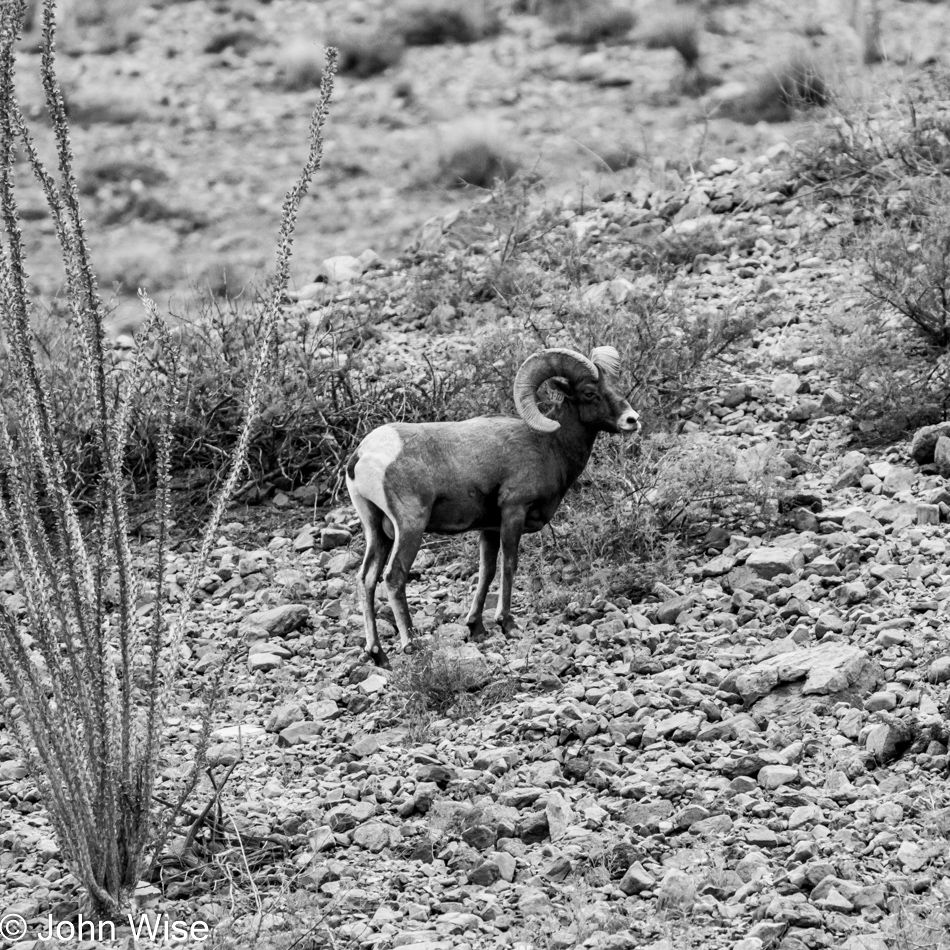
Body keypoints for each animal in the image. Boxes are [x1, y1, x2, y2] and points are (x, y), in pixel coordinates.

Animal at [346, 346, 644, 664]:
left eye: (615, 385)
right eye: (590, 392)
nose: (632, 420)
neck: (549, 445)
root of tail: (362, 456)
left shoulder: (488, 529)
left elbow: (487, 572)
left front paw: (476, 628)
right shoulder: (514, 512)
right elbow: (509, 565)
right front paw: (507, 624)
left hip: (377, 531)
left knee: (366, 579)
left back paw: (378, 654)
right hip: (409, 527)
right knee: (394, 577)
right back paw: (411, 644)